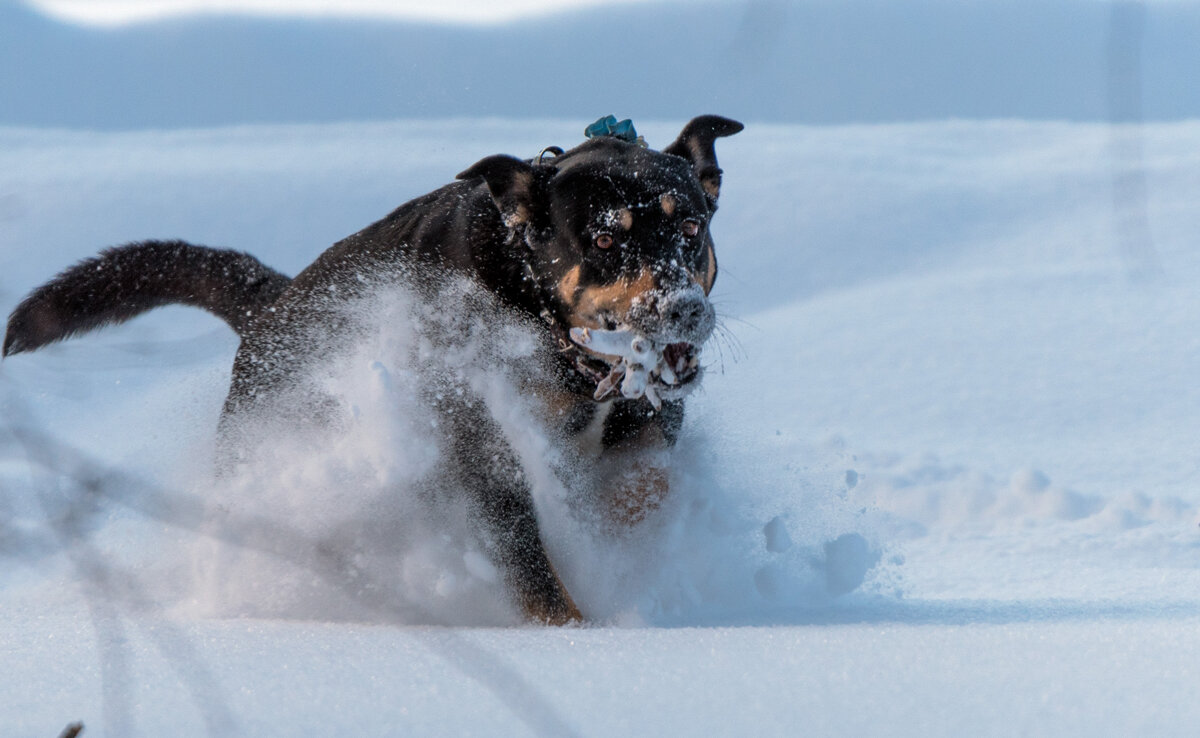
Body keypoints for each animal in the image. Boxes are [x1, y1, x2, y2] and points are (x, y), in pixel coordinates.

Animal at [4, 115, 739, 624]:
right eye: (607, 239)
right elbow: (528, 558)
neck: (543, 321)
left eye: (691, 229)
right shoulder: (474, 444)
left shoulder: (646, 419)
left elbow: (642, 482)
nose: (683, 310)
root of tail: (273, 308)